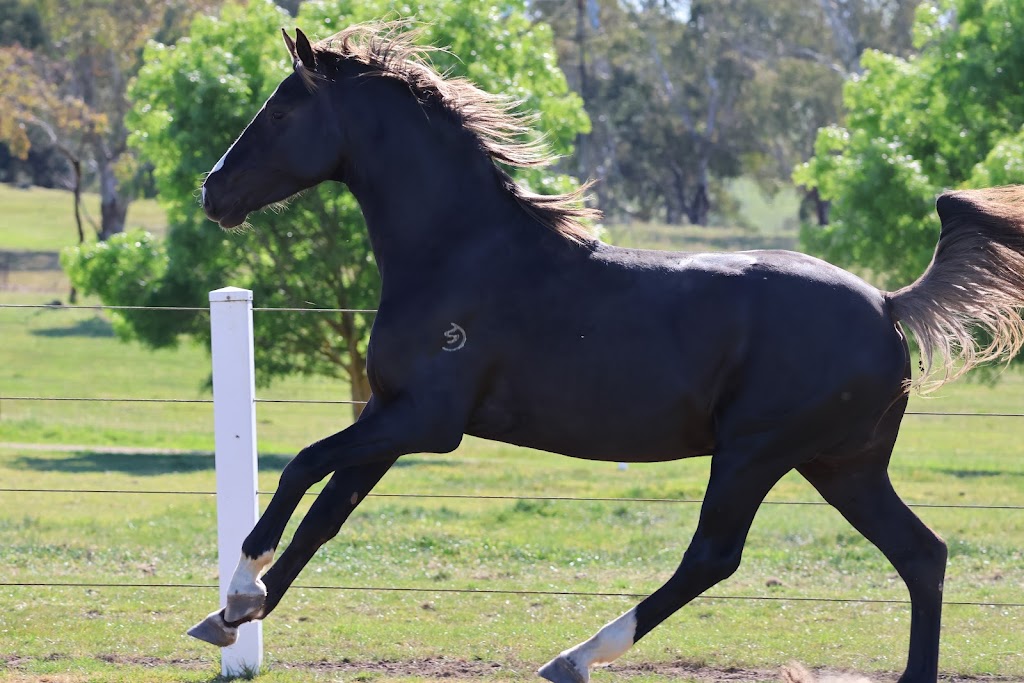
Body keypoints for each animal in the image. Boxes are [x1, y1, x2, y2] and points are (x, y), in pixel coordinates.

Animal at [189, 24, 1024, 683]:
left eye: (282, 108)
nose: (211, 191)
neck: (459, 251)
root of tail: (889, 303)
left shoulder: (426, 420)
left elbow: (300, 467)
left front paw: (239, 591)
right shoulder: (391, 417)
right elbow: (326, 512)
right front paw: (230, 616)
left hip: (757, 450)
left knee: (713, 556)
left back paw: (574, 656)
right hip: (842, 464)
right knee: (922, 553)